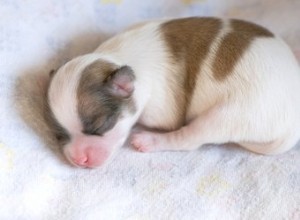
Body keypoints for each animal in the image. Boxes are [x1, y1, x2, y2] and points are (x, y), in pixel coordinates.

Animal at [47, 17, 300, 168]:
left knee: (189, 139)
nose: (80, 159)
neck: (117, 57)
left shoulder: (160, 109)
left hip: (231, 115)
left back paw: (149, 141)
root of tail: (292, 127)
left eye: (101, 127)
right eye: (59, 134)